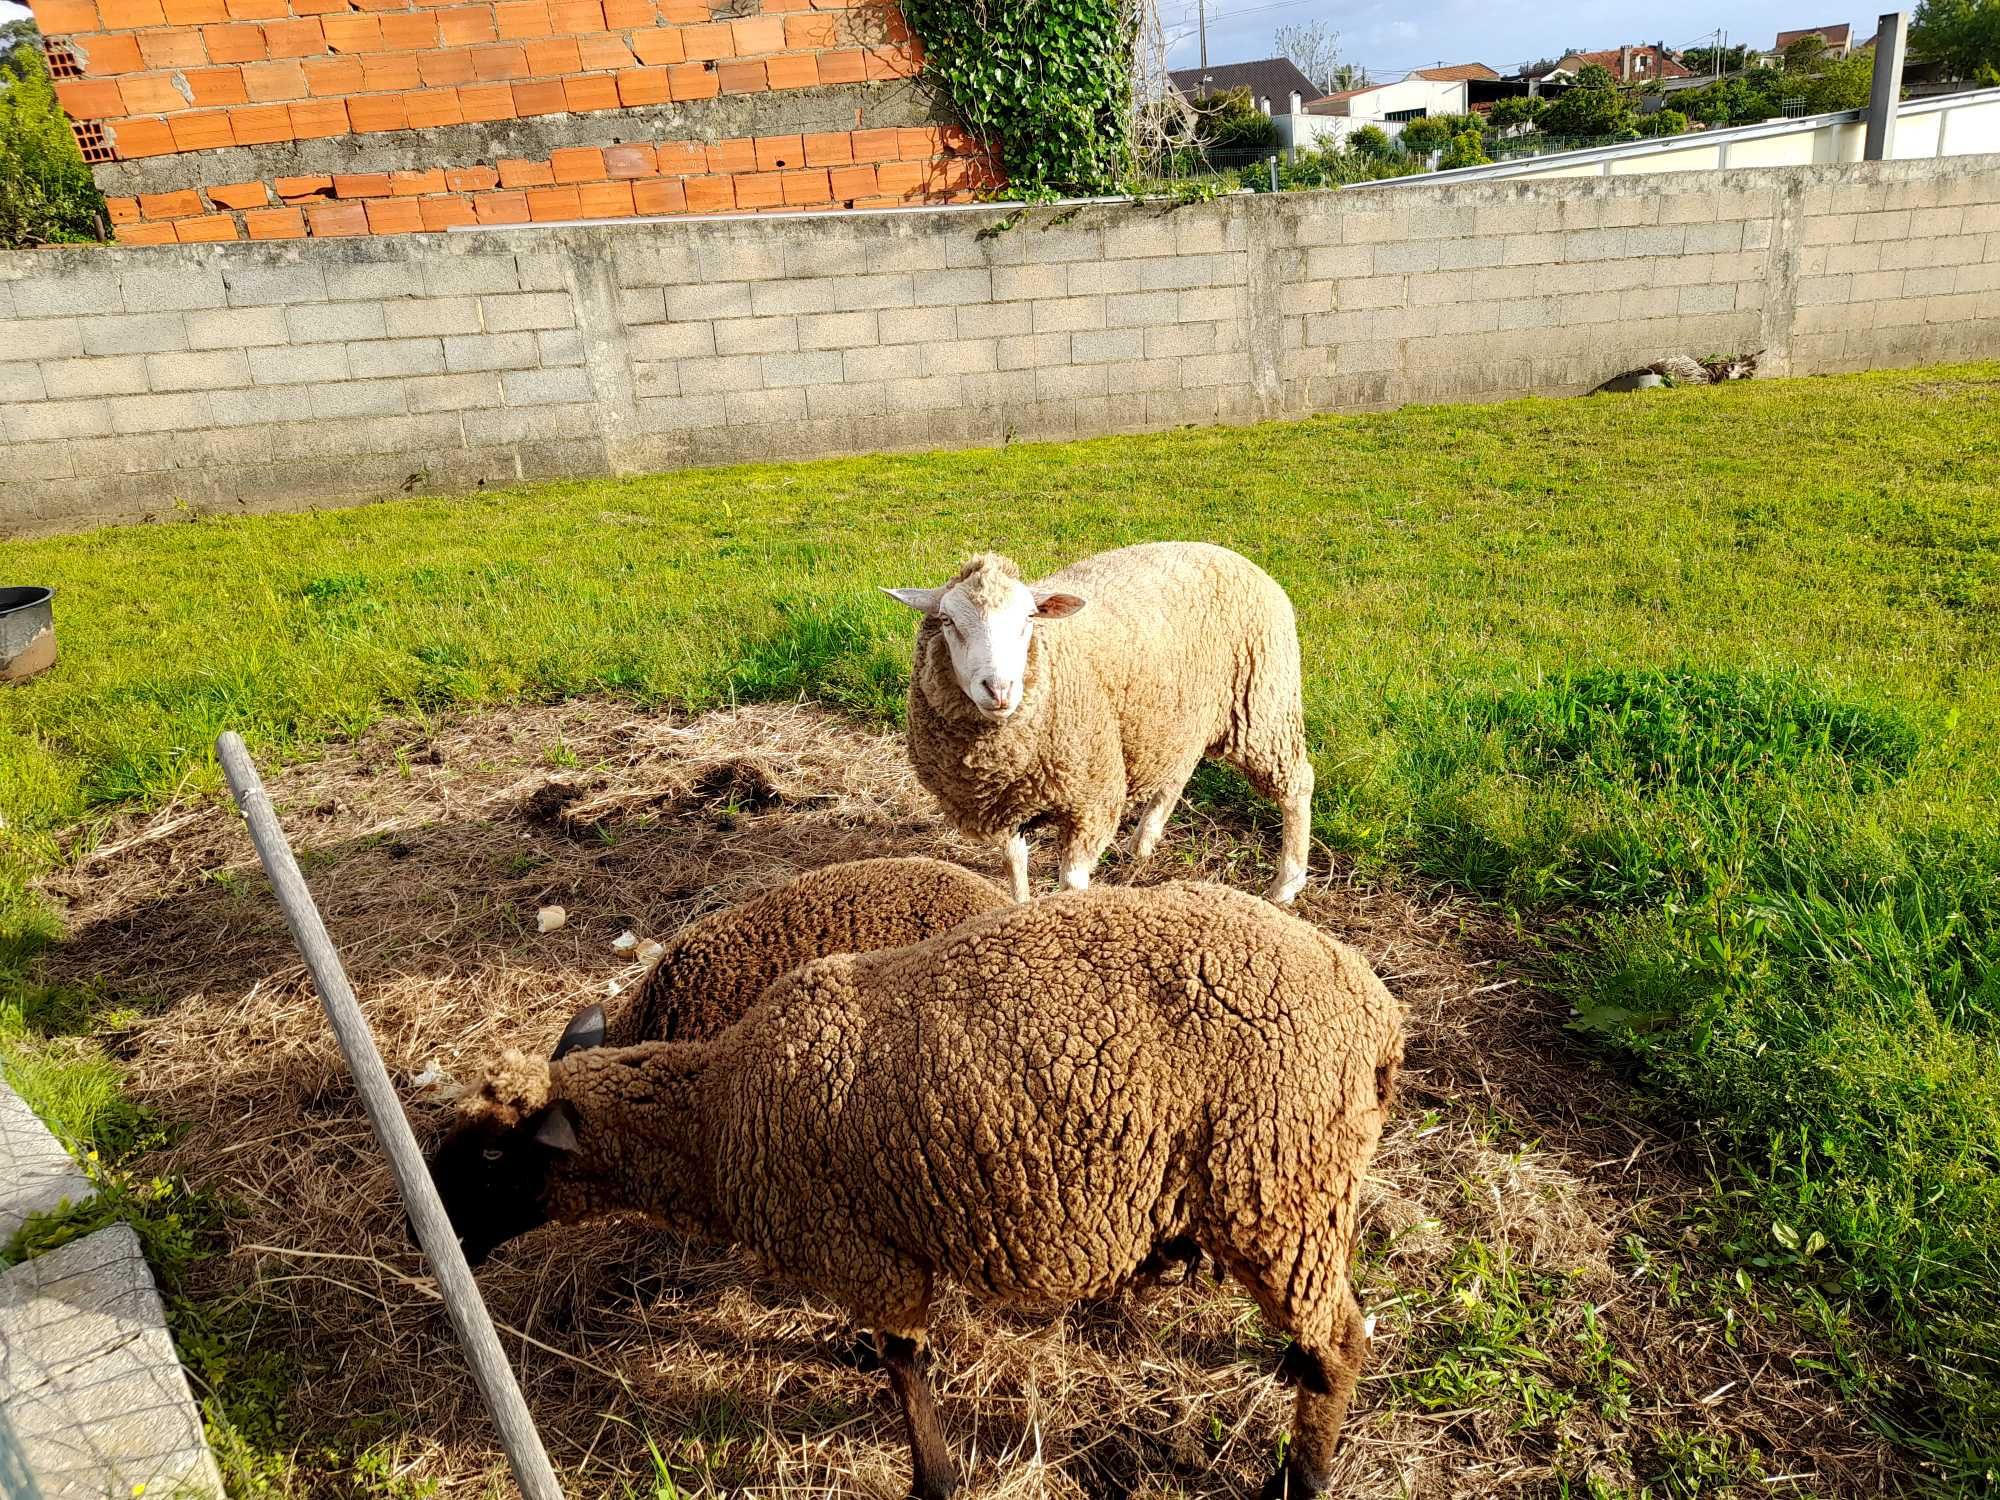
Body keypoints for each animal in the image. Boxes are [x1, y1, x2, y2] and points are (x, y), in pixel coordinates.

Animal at [426, 888, 1392, 1496]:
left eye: (491, 1159)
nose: (425, 1237)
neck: (716, 1115)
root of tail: (1371, 1001)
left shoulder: (870, 1254)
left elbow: (906, 1367)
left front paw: (933, 1479)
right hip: (1292, 1198)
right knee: (1325, 1333)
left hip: (1277, 1184)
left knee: (1343, 1340)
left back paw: (1302, 1477)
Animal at [884, 548, 1320, 912]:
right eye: (947, 621)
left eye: (1029, 618)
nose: (1000, 688)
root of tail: (1235, 555)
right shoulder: (1003, 799)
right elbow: (1014, 863)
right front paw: (1018, 908)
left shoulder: (1091, 797)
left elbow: (1071, 881)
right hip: (1179, 713)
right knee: (1179, 770)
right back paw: (1143, 841)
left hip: (1264, 706)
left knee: (1297, 785)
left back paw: (1286, 884)